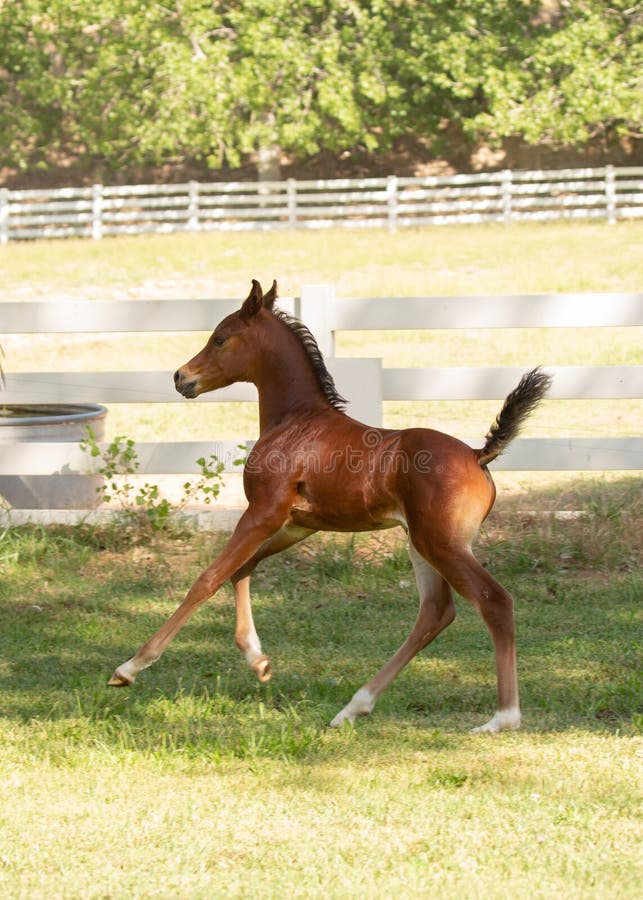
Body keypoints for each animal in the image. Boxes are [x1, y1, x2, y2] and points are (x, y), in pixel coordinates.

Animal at [108, 280, 552, 732]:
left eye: (220, 338)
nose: (181, 377)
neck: (295, 420)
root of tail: (479, 455)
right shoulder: (298, 523)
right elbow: (242, 569)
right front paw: (258, 661)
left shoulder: (263, 512)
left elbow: (209, 577)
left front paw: (130, 667)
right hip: (422, 544)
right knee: (435, 612)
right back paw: (353, 707)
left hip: (442, 544)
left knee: (493, 601)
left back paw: (503, 717)